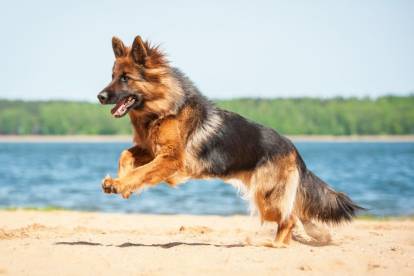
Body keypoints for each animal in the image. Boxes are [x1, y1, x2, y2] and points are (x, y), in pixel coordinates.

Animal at [97, 35, 362, 247]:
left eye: (125, 78)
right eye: (112, 76)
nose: (100, 96)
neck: (162, 108)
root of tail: (294, 150)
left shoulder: (169, 158)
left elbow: (141, 172)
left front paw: (121, 183)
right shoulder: (151, 150)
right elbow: (125, 155)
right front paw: (120, 182)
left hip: (266, 199)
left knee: (289, 219)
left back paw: (274, 245)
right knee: (296, 216)